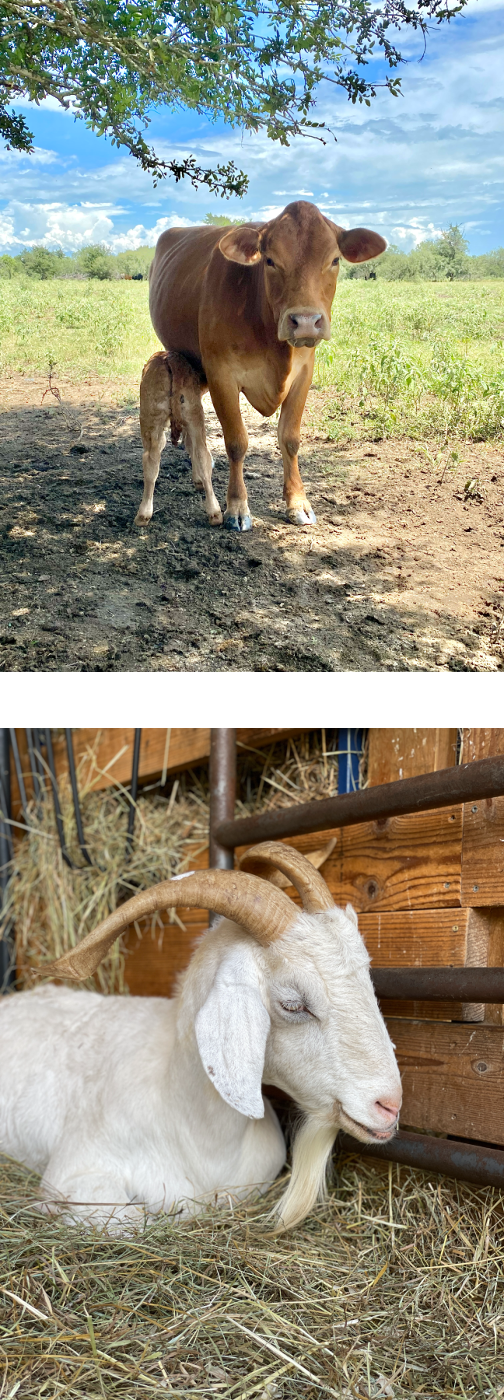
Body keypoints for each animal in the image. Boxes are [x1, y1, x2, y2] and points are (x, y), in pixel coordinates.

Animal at [135, 204, 383, 534]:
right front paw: (236, 507)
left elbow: (289, 439)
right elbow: (236, 442)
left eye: (334, 259)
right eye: (270, 260)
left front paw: (298, 503)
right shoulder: (222, 375)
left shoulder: (304, 374)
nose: (306, 322)